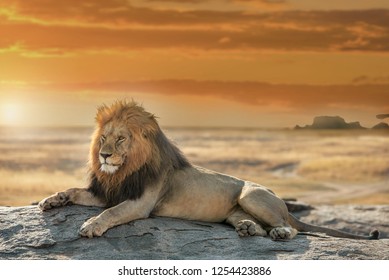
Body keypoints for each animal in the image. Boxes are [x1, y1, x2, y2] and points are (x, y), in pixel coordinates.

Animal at [38, 100, 378, 241]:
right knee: (253, 224)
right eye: (102, 139)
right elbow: (73, 190)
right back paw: (249, 229)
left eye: (121, 139)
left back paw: (280, 232)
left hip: (252, 195)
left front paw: (91, 225)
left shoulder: (139, 202)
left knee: (290, 227)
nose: (104, 155)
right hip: (236, 211)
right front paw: (50, 200)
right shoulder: (108, 191)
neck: (123, 170)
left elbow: (112, 213)